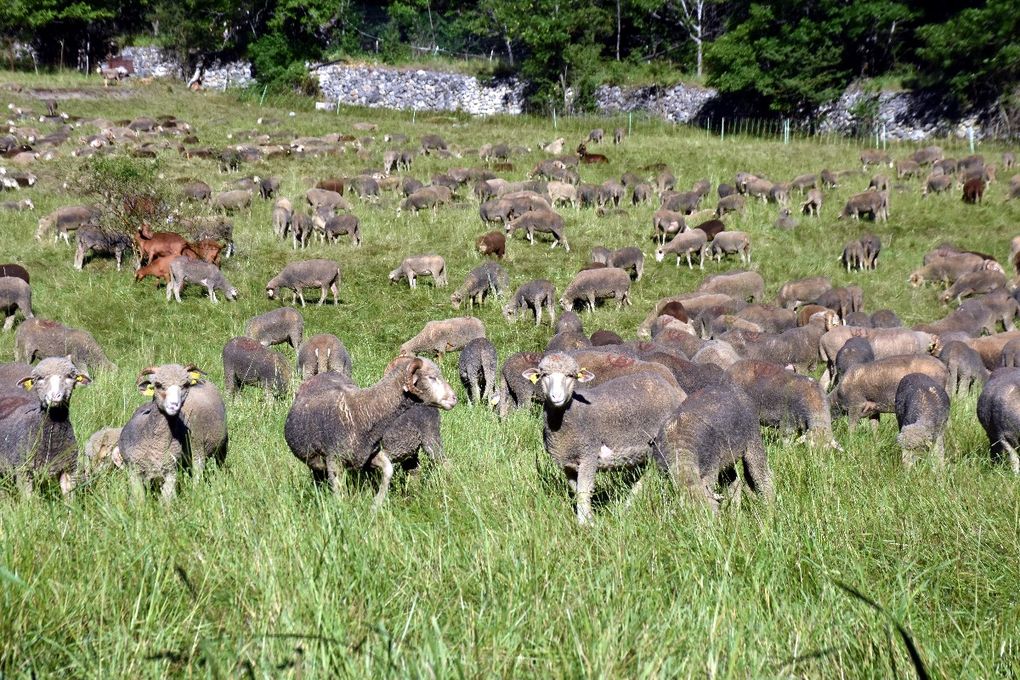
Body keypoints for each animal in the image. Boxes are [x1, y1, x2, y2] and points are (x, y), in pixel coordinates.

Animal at [118, 364, 228, 503]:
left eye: (185, 385)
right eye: (158, 385)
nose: (174, 406)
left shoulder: (174, 469)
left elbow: (167, 499)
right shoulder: (135, 471)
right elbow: (140, 499)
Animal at [279, 356, 454, 505]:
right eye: (432, 377)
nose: (454, 398)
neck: (363, 412)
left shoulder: (369, 455)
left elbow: (388, 470)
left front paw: (376, 505)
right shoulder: (335, 460)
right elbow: (340, 493)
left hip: (429, 441)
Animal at [526, 354, 685, 526]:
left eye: (570, 376)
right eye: (544, 375)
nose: (557, 397)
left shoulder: (589, 455)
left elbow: (583, 491)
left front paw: (585, 524)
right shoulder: (567, 463)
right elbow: (577, 490)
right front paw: (589, 517)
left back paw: (628, 505)